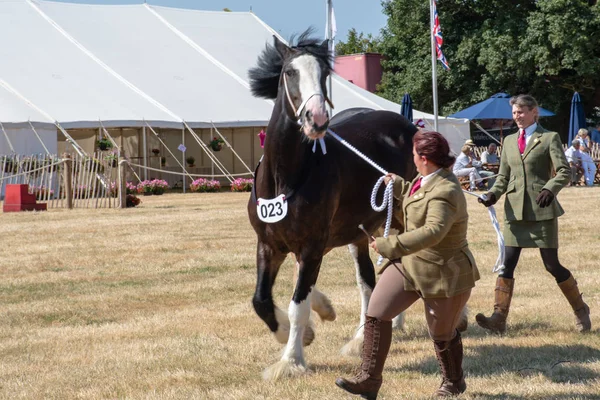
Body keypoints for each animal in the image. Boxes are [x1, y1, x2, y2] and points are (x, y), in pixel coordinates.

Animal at [247, 32, 418, 380]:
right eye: (289, 72)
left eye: (325, 74)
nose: (316, 119)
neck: (286, 177)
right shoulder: (269, 245)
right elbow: (262, 299)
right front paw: (310, 324)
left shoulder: (313, 246)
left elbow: (297, 305)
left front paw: (291, 360)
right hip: (362, 235)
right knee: (369, 284)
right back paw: (362, 338)